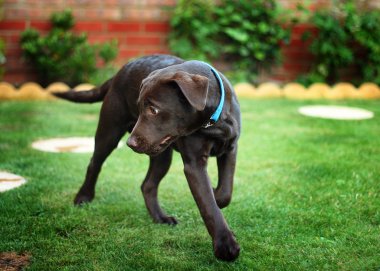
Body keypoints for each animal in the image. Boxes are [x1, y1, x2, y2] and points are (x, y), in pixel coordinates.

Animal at [53, 54, 240, 262]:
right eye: (140, 107)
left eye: (154, 109)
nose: (130, 143)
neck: (213, 121)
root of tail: (119, 72)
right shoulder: (194, 164)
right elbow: (208, 206)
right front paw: (225, 245)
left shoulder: (230, 148)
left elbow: (225, 190)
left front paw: (217, 196)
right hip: (109, 131)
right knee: (95, 163)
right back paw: (83, 197)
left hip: (160, 154)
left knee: (147, 185)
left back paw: (160, 218)